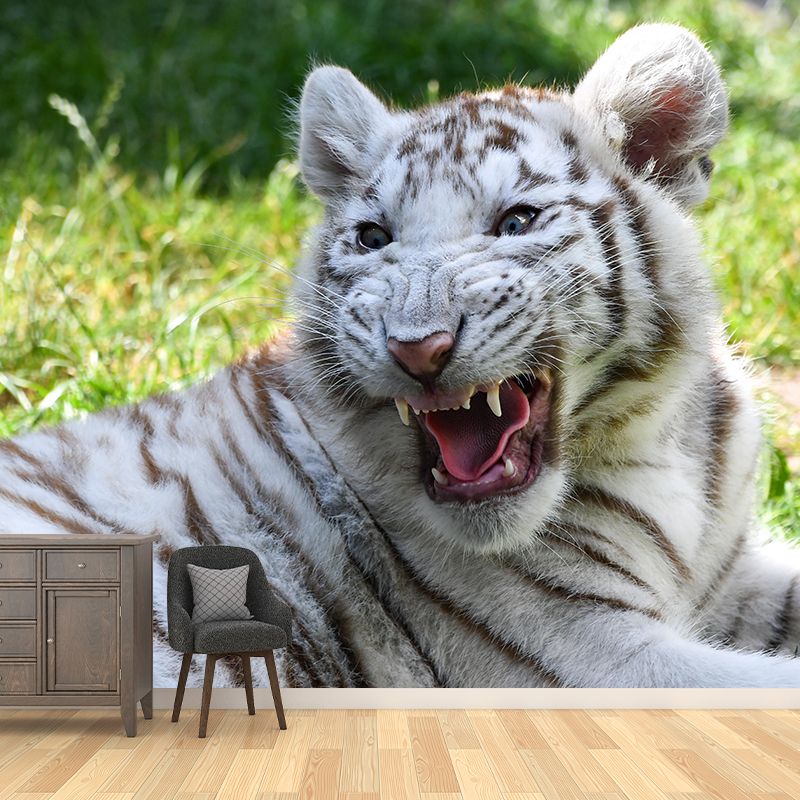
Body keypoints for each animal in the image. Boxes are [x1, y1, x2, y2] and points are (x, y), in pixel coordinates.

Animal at [1, 23, 798, 690]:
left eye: (516, 222)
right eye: (374, 237)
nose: (419, 348)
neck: (652, 436)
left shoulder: (731, 579)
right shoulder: (587, 651)